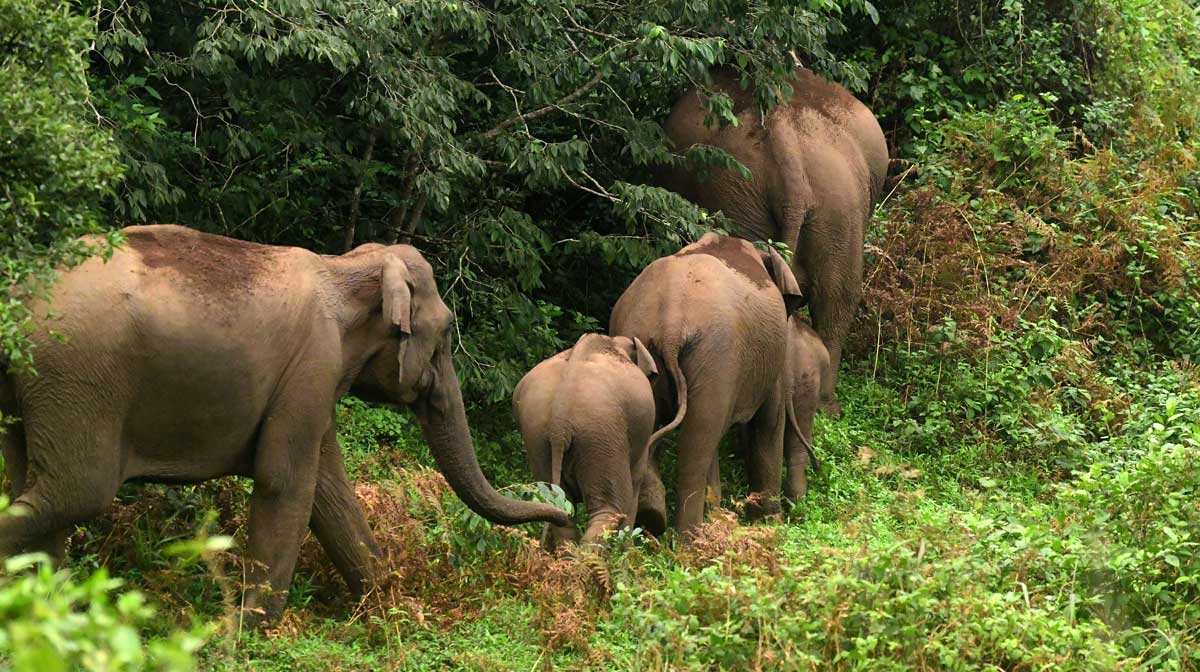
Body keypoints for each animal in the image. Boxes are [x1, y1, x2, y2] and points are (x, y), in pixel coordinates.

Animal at [0, 224, 568, 622]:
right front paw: (254, 632)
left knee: (31, 483)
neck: (349, 267)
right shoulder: (314, 360)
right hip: (79, 377)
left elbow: (329, 488)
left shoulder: (315, 379)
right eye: (447, 332)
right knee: (76, 492)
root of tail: (19, 298)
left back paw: (44, 617)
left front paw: (389, 612)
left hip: (38, 390)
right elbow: (286, 480)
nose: (561, 516)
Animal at [512, 333, 662, 550]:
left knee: (563, 509)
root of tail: (560, 417)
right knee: (610, 508)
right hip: (601, 432)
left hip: (537, 436)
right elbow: (636, 479)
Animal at [610, 231, 804, 538]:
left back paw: (652, 520)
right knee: (698, 441)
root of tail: (670, 325)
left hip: (642, 349)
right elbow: (769, 422)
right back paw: (689, 540)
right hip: (717, 356)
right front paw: (771, 525)